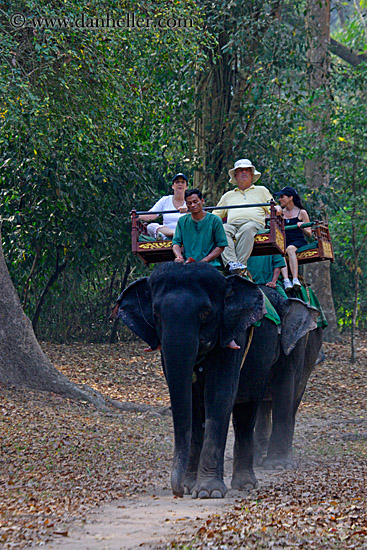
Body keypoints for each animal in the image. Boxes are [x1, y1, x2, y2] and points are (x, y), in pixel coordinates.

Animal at [118, 264, 320, 500]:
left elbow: (220, 395)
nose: (177, 491)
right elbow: (193, 404)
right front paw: (190, 486)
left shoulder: (238, 336)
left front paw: (208, 491)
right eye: (156, 314)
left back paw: (253, 479)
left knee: (253, 406)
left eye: (206, 312)